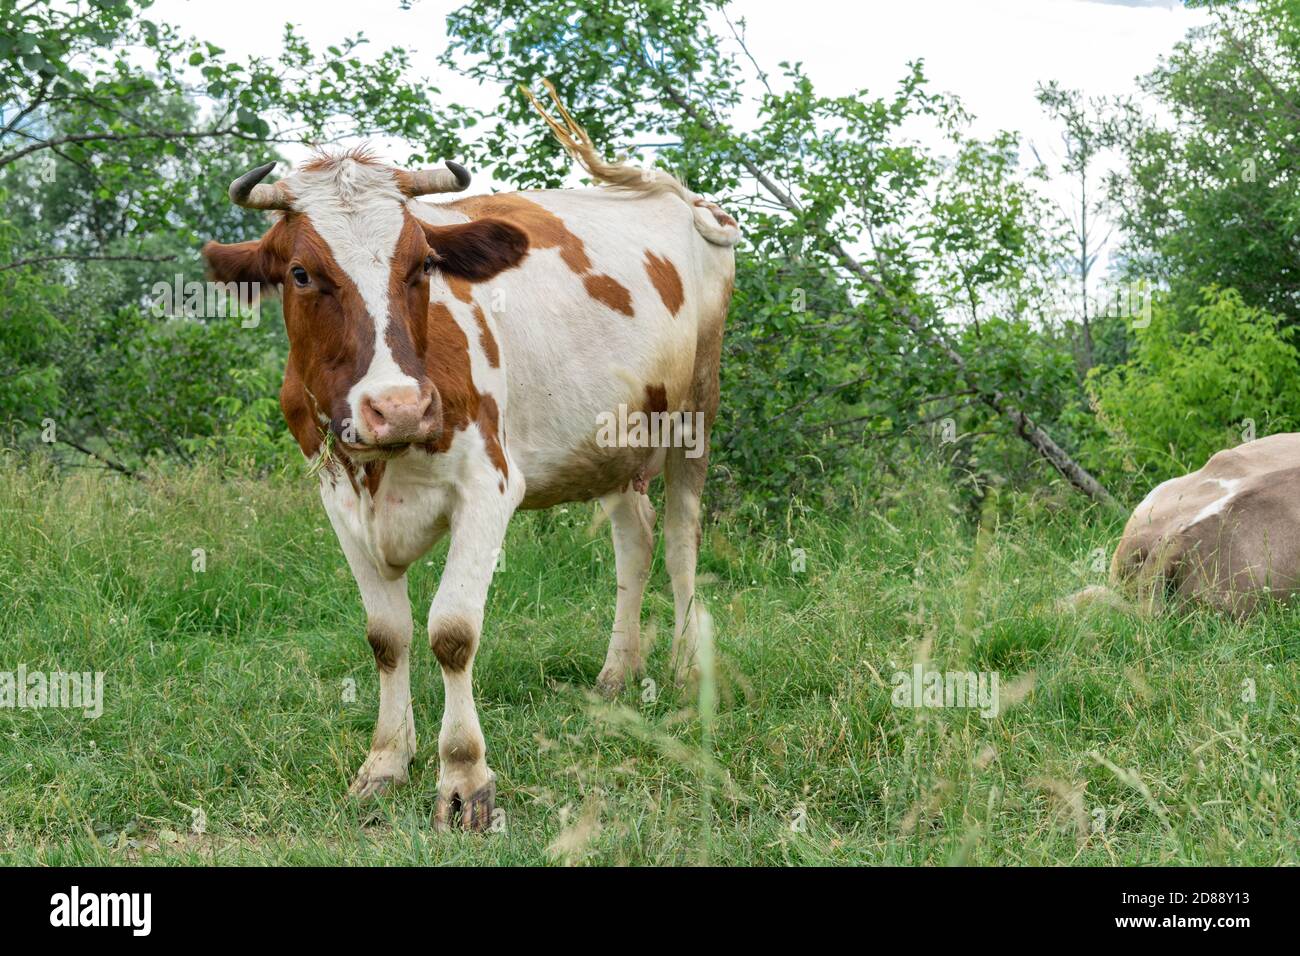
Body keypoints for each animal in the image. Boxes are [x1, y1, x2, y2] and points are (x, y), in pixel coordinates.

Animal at [200, 90, 738, 831]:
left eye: (422, 264)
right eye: (301, 274)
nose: (397, 408)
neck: (385, 462)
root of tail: (677, 193)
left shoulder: (489, 487)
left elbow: (452, 632)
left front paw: (463, 779)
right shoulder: (337, 496)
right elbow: (386, 635)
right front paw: (385, 762)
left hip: (695, 413)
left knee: (683, 536)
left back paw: (686, 670)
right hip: (609, 441)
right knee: (637, 539)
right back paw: (617, 673)